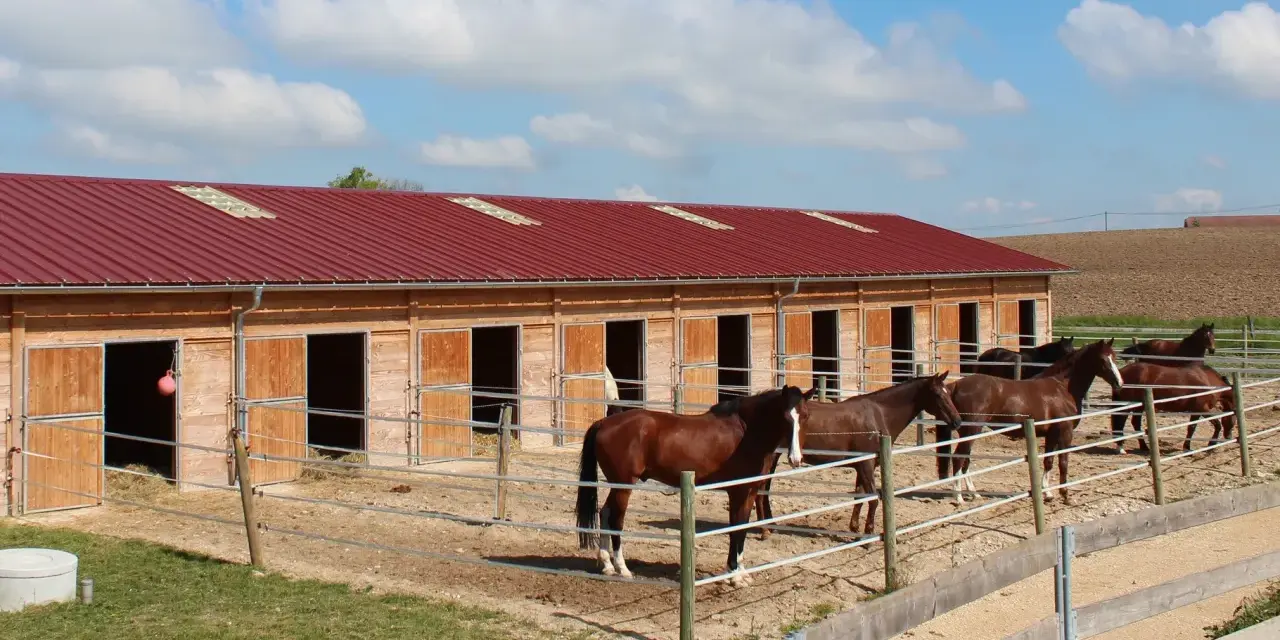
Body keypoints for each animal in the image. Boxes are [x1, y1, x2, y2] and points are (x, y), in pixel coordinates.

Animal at [575, 385, 814, 588]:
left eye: (805, 416)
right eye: (785, 417)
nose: (795, 459)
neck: (747, 432)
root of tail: (604, 423)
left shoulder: (749, 492)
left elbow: (742, 529)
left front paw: (740, 572)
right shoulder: (738, 493)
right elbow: (735, 529)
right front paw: (734, 576)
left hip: (616, 485)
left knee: (604, 513)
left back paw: (607, 565)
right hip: (624, 485)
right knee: (616, 519)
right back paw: (622, 568)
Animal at [752, 372, 963, 539]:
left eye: (948, 392)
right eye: (938, 394)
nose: (957, 421)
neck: (878, 415)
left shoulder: (863, 465)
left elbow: (859, 496)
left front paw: (854, 528)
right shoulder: (866, 465)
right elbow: (872, 498)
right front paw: (867, 535)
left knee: (764, 490)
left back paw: (770, 525)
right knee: (760, 490)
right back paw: (764, 530)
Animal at [936, 339, 1124, 505]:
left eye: (1114, 357)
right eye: (1103, 359)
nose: (1119, 383)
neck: (1062, 388)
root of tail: (955, 386)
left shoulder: (1051, 434)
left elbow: (1049, 461)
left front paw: (1047, 494)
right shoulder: (1065, 432)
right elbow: (1063, 462)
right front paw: (1065, 496)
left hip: (969, 432)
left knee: (965, 460)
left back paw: (974, 493)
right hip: (971, 431)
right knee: (958, 459)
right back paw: (958, 497)